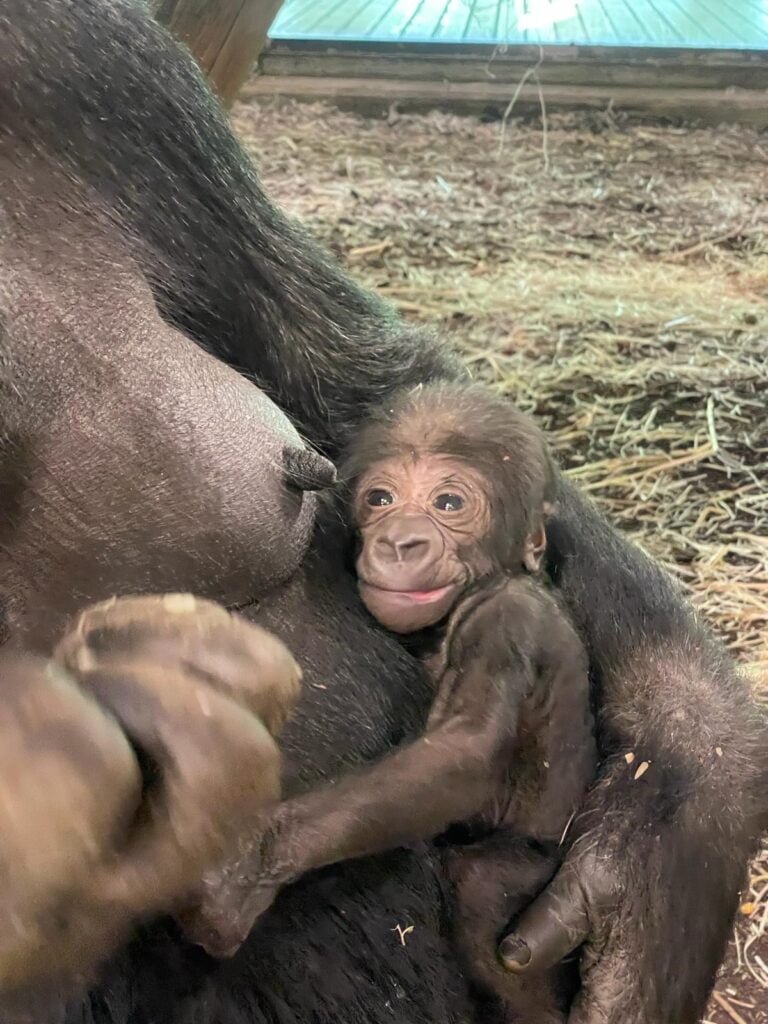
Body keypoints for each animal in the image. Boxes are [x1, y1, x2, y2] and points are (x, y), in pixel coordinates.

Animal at [183, 385, 598, 1024]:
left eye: (450, 503)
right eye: (381, 499)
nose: (400, 540)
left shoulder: (507, 622)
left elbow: (465, 750)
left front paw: (248, 869)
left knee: (480, 887)